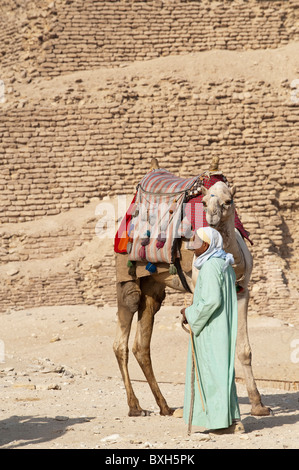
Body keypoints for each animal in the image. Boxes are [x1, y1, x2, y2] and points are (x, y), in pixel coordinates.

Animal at [113, 160, 272, 416]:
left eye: (228, 201)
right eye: (204, 202)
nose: (212, 219)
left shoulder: (242, 290)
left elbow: (243, 348)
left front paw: (258, 405)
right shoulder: (199, 288)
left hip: (153, 284)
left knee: (141, 343)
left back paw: (164, 406)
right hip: (126, 271)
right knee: (122, 336)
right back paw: (135, 406)